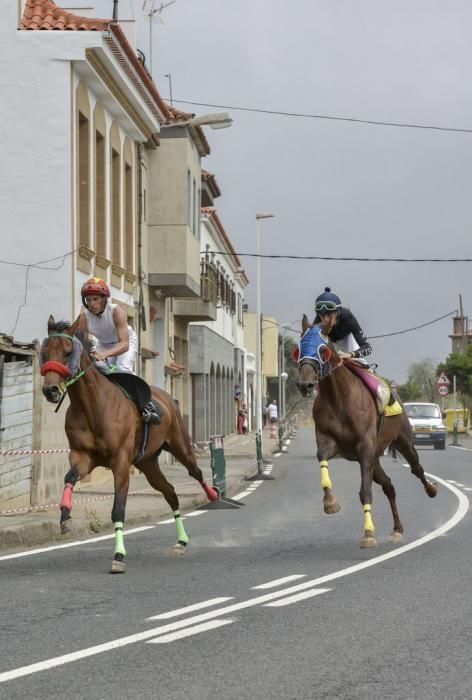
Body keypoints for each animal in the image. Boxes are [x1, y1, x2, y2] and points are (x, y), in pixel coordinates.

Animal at [40, 314, 218, 572]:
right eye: (44, 352)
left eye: (67, 351)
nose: (50, 390)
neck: (93, 406)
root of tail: (168, 398)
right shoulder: (82, 456)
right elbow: (69, 478)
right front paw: (65, 518)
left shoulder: (121, 462)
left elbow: (118, 510)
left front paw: (118, 556)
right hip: (148, 463)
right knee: (171, 493)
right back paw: (181, 542)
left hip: (180, 445)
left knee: (195, 471)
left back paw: (213, 495)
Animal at [294, 314, 436, 548]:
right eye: (298, 349)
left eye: (322, 350)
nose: (305, 385)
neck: (339, 398)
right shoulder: (329, 440)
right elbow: (322, 457)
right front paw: (330, 502)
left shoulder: (365, 447)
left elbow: (365, 492)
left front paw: (368, 534)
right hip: (375, 458)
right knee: (388, 485)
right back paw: (397, 529)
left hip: (402, 440)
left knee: (416, 468)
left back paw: (431, 489)